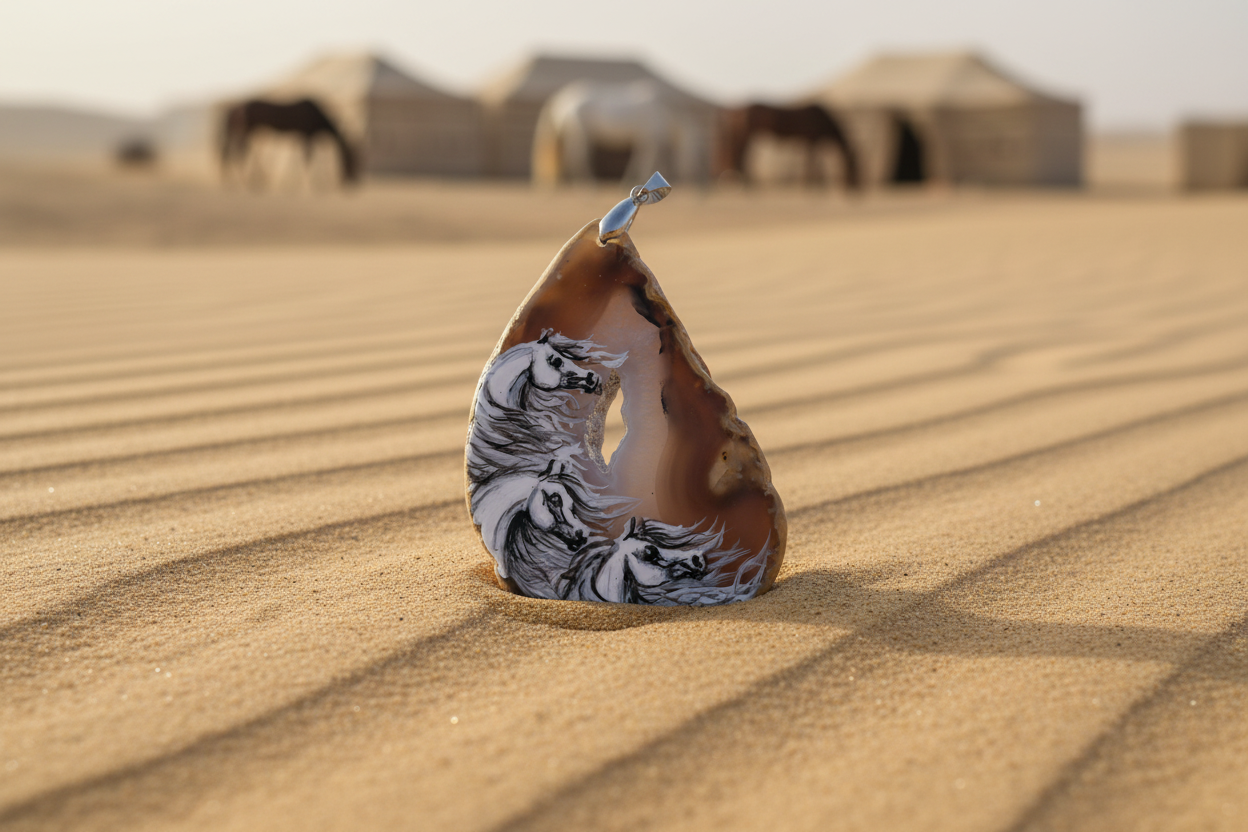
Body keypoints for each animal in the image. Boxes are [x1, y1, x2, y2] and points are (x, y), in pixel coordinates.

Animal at [220, 98, 359, 188]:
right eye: (350, 159)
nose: (350, 180)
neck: (318, 116)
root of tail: (236, 109)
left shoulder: (300, 138)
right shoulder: (307, 136)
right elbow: (307, 159)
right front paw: (307, 188)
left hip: (246, 132)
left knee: (235, 152)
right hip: (247, 131)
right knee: (240, 152)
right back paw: (245, 182)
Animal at [532, 80, 710, 186]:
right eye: (700, 152)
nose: (704, 192)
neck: (666, 110)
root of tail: (562, 101)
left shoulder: (649, 141)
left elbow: (647, 162)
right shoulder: (650, 141)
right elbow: (645, 163)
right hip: (581, 135)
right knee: (578, 159)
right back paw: (588, 188)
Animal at [717, 103, 860, 189]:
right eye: (853, 165)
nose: (854, 187)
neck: (823, 119)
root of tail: (737, 111)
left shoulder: (810, 143)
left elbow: (814, 163)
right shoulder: (812, 141)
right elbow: (810, 163)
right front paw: (808, 184)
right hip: (746, 134)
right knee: (740, 153)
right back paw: (744, 181)